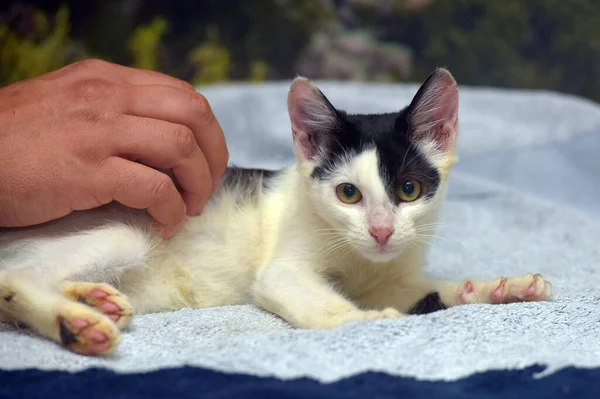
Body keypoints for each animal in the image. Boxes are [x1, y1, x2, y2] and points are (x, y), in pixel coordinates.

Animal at [0, 68, 552, 356]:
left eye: (409, 189)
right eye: (348, 194)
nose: (380, 232)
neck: (357, 260)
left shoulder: (394, 272)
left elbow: (429, 292)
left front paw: (499, 288)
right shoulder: (283, 270)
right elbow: (325, 301)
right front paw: (365, 318)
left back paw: (94, 299)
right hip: (121, 230)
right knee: (16, 275)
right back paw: (76, 322)